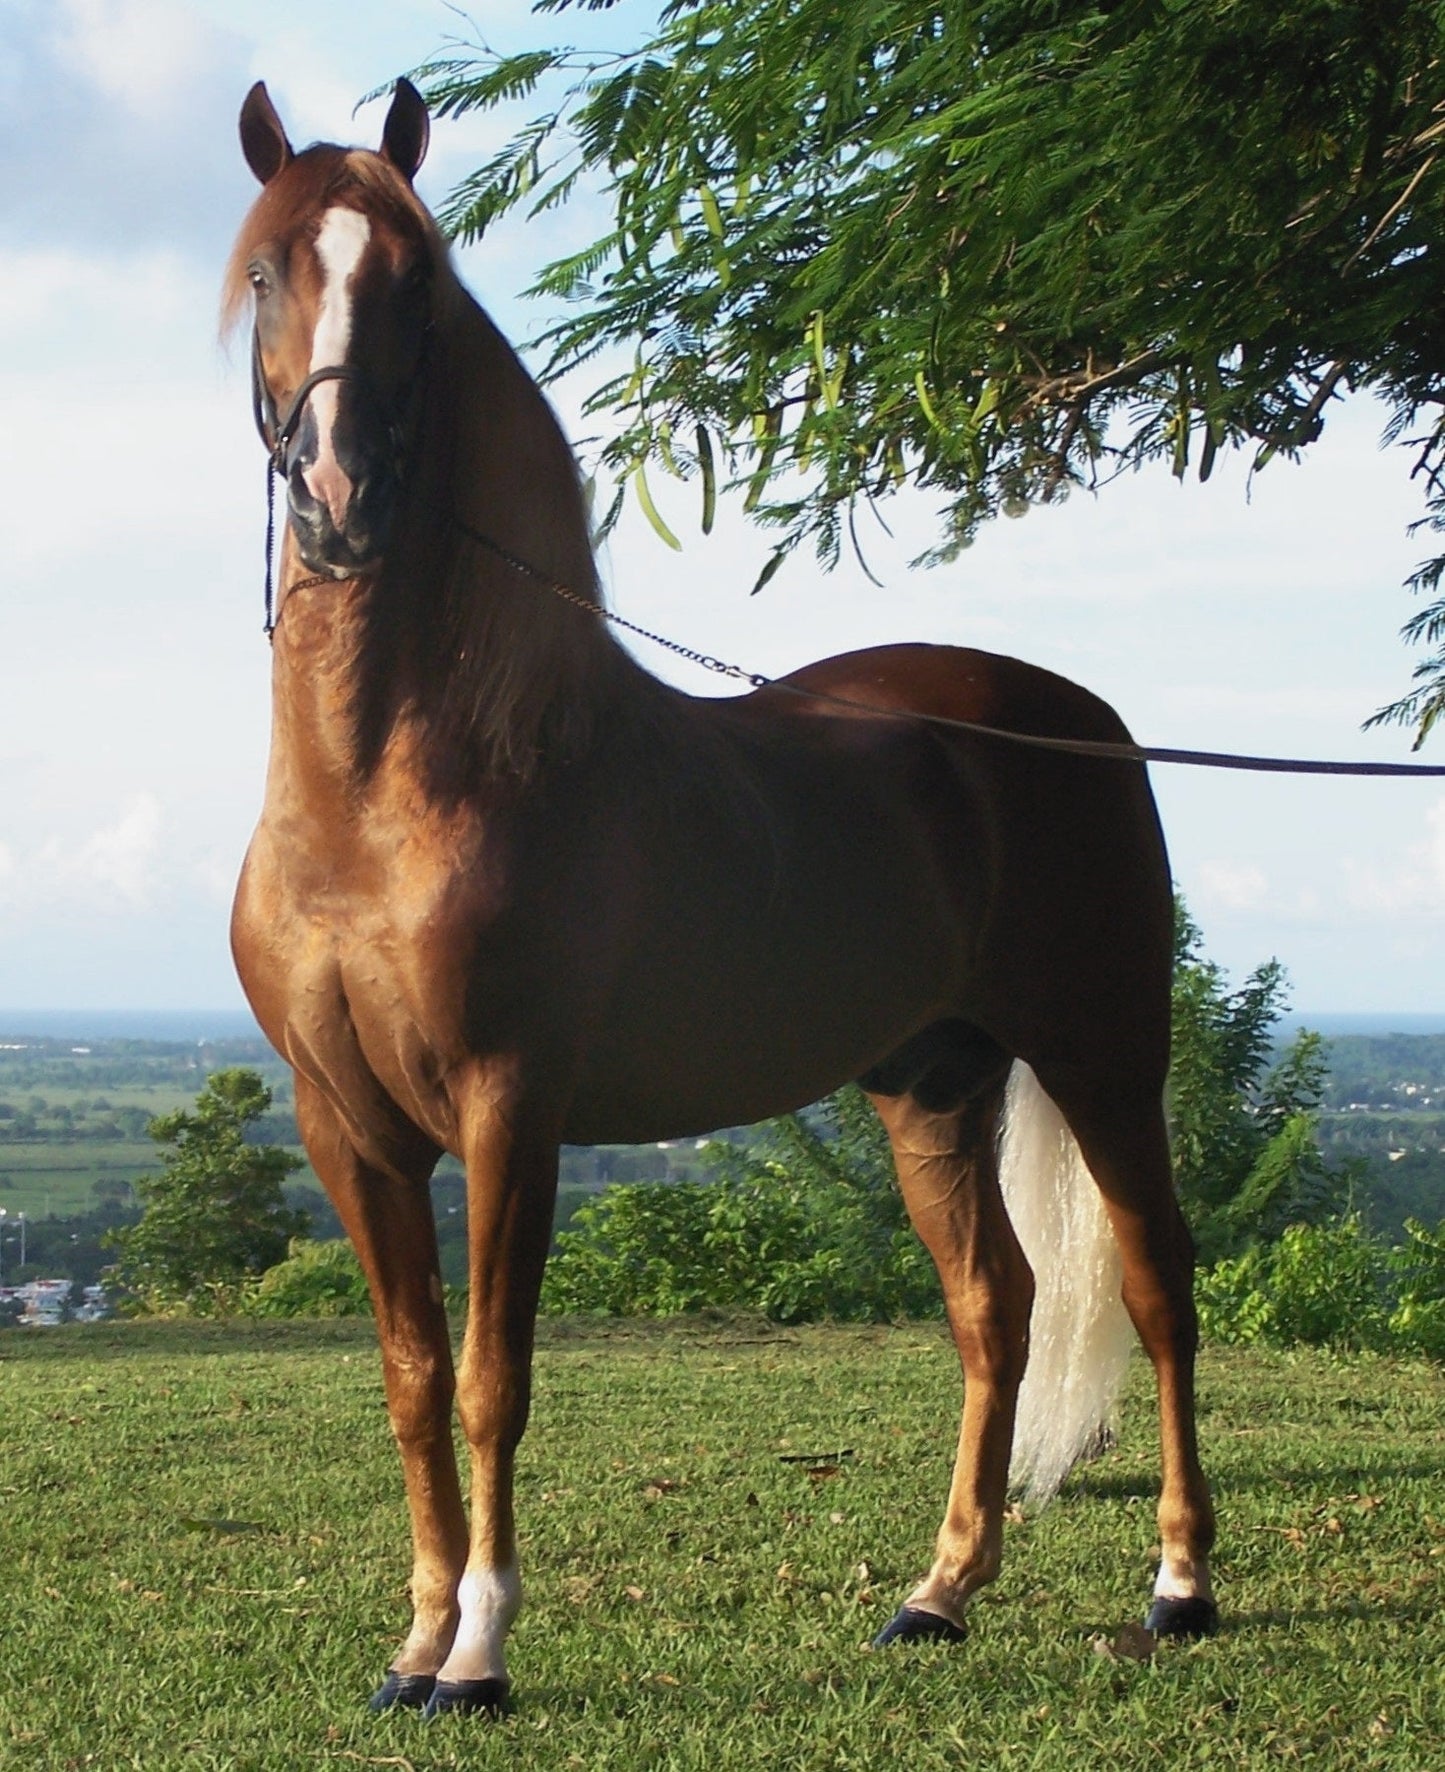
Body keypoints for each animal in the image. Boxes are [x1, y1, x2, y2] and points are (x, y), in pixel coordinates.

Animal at [226, 77, 1217, 1718]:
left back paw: (1182, 1584)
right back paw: (937, 1593)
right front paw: (414, 1642)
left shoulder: (509, 1106)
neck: (391, 790)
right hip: (930, 1087)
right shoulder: (345, 1123)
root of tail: (1074, 719)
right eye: (264, 272)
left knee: (1154, 1286)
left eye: (417, 283)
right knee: (993, 1309)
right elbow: (412, 1377)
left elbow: (493, 1377)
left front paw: (479, 1654)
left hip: (1100, 1057)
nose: (340, 497)